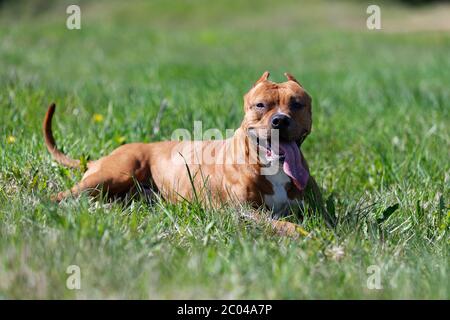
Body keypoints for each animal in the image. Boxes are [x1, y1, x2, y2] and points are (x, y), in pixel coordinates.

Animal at [44, 72, 334, 236]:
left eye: (297, 104)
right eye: (261, 105)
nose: (280, 120)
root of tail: (101, 158)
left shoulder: (318, 209)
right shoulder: (246, 212)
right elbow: (282, 224)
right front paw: (306, 235)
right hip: (112, 175)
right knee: (64, 195)